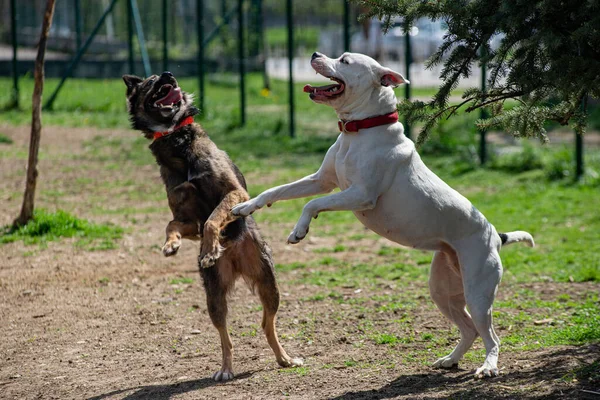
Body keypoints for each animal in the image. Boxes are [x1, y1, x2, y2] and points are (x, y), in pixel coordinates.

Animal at [122, 72, 302, 382]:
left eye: (163, 76)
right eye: (152, 80)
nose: (169, 75)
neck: (176, 141)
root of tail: (238, 262)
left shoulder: (234, 193)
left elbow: (213, 219)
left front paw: (209, 250)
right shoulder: (187, 219)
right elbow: (173, 223)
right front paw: (171, 244)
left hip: (269, 285)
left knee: (267, 325)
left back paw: (284, 358)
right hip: (214, 297)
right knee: (225, 337)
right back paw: (226, 369)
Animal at [233, 51, 536, 376]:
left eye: (345, 60)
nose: (315, 54)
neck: (359, 130)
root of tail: (495, 235)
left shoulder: (360, 195)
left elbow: (311, 204)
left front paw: (299, 230)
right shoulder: (321, 181)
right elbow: (276, 191)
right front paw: (246, 206)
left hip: (478, 293)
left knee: (491, 335)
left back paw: (488, 366)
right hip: (443, 290)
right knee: (469, 330)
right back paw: (450, 359)